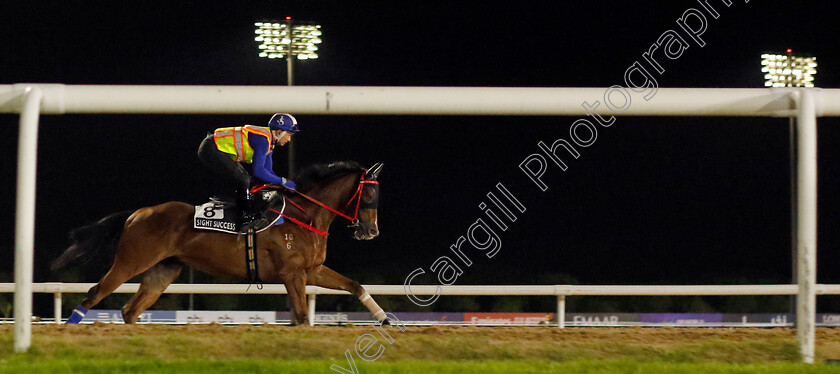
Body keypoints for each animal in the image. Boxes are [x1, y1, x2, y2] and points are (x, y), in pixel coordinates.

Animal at [54, 162, 388, 326]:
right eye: (370, 194)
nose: (371, 231)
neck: (302, 216)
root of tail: (138, 213)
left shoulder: (312, 270)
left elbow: (355, 286)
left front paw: (384, 320)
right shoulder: (292, 274)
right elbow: (303, 317)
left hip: (163, 271)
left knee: (130, 310)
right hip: (130, 262)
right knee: (95, 293)